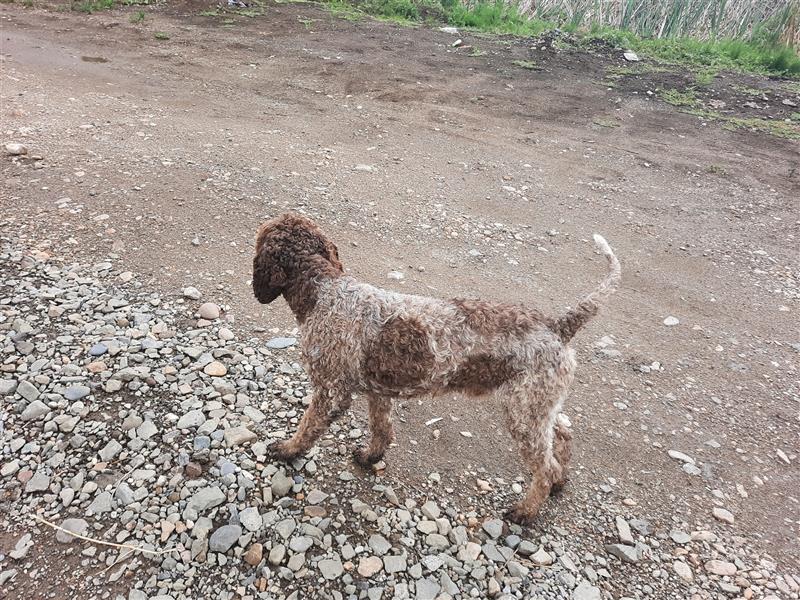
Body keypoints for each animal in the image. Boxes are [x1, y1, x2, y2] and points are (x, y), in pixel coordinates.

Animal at [250, 213, 620, 524]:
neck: (324, 289)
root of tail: (558, 325)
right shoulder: (378, 390)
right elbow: (382, 430)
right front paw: (371, 456)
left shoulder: (330, 392)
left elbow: (308, 426)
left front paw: (288, 450)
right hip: (537, 405)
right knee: (564, 435)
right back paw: (559, 482)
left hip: (523, 414)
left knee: (544, 467)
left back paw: (526, 510)